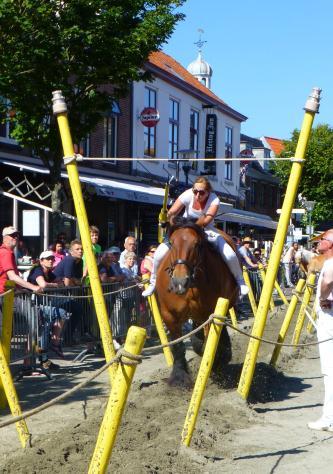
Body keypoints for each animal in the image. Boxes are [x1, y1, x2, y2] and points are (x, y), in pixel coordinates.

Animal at [154, 220, 237, 386]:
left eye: (198, 244)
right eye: (171, 243)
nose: (179, 282)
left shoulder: (211, 313)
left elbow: (210, 342)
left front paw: (216, 360)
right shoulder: (169, 315)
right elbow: (178, 347)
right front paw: (179, 377)